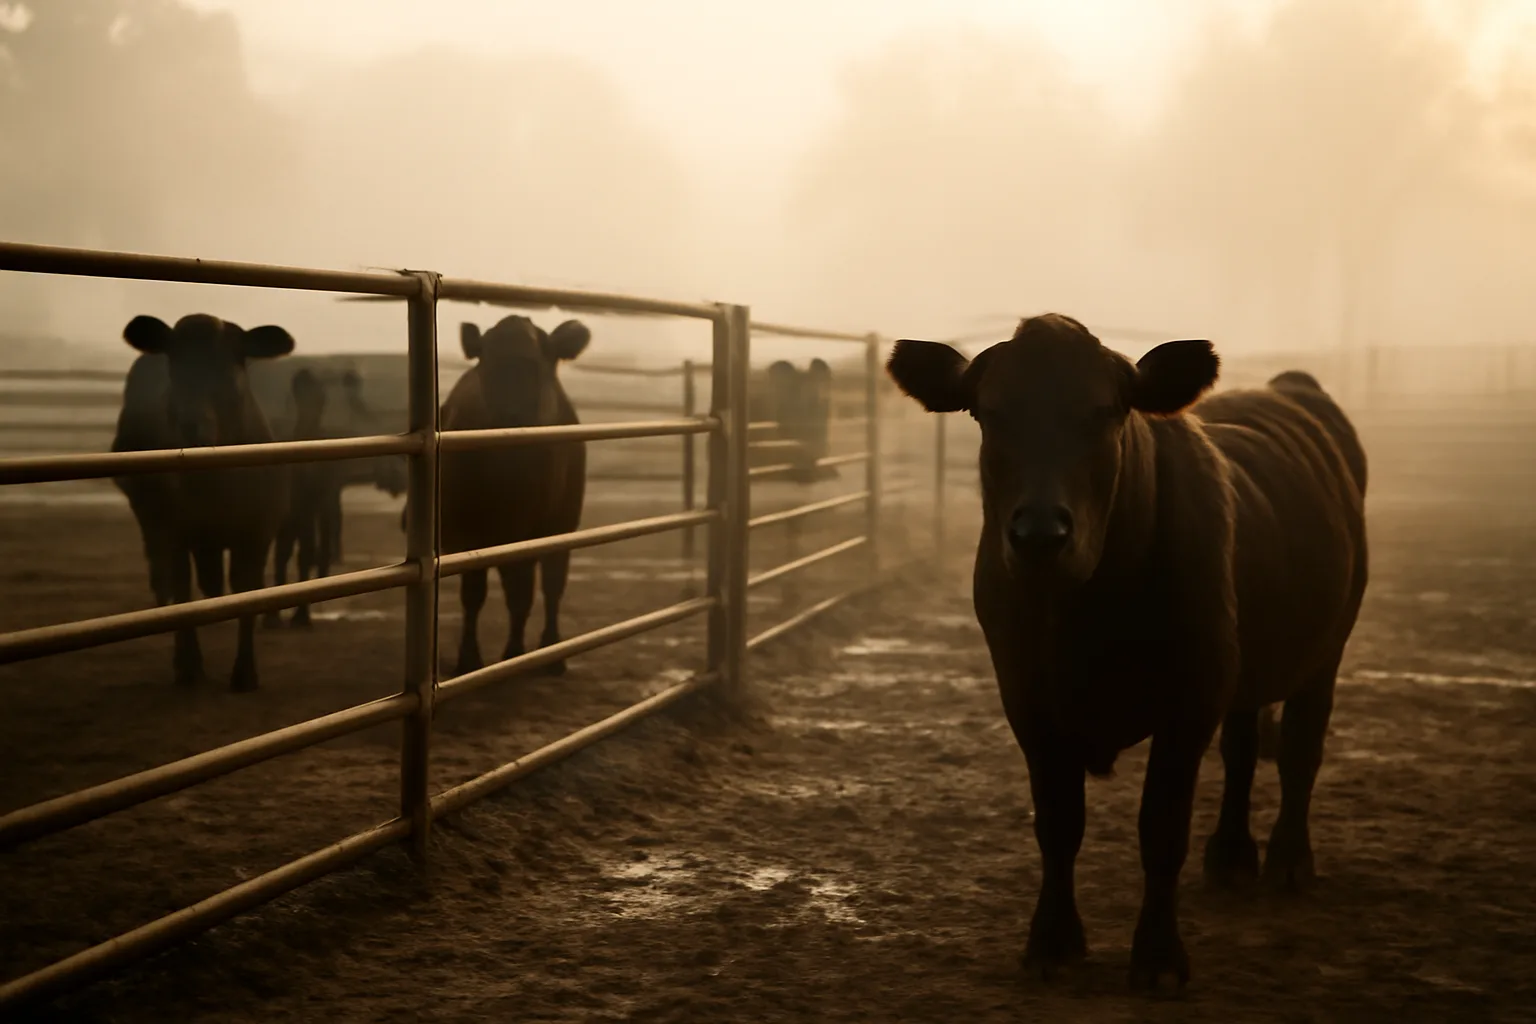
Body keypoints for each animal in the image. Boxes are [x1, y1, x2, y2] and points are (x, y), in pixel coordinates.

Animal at [111, 313, 296, 691]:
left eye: (229, 367)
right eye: (176, 365)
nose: (191, 425)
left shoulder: (258, 533)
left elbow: (247, 589)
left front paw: (245, 671)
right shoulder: (173, 532)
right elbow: (183, 592)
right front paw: (189, 667)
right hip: (149, 519)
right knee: (165, 576)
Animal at [433, 314, 590, 677]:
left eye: (537, 365)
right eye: (487, 364)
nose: (511, 416)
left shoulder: (558, 526)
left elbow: (544, 587)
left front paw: (541, 651)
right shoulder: (471, 532)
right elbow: (475, 593)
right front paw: (470, 659)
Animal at [886, 313, 1368, 991]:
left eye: (1106, 410)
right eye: (989, 412)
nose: (1040, 534)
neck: (1087, 617)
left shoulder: (1191, 699)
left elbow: (1161, 828)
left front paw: (1159, 957)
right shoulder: (1028, 701)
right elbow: (1058, 825)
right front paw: (1053, 942)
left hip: (1327, 645)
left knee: (1300, 749)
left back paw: (1289, 861)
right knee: (1244, 747)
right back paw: (1231, 854)